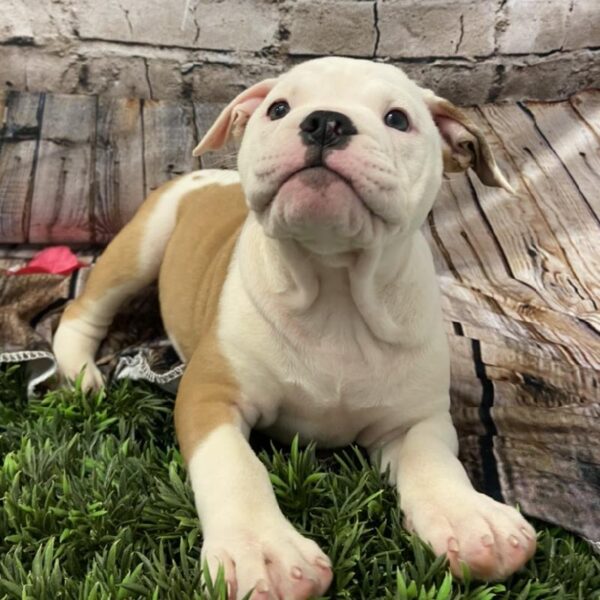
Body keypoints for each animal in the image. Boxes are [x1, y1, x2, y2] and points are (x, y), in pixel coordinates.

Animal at [54, 57, 536, 600]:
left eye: (397, 119)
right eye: (279, 108)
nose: (325, 121)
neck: (335, 291)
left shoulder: (415, 418)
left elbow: (434, 460)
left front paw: (470, 517)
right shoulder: (210, 394)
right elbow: (235, 465)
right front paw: (262, 550)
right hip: (142, 245)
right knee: (81, 311)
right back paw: (82, 374)